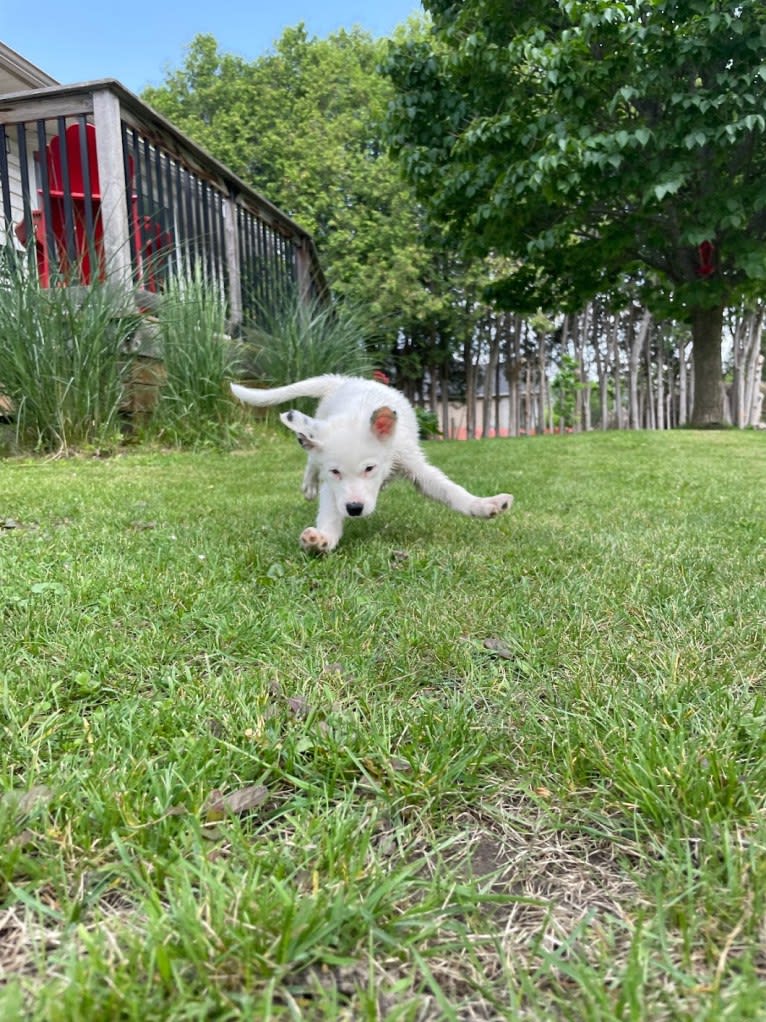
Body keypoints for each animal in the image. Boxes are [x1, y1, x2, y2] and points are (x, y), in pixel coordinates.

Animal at [230, 374, 512, 551]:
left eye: (369, 468)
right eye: (336, 471)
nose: (354, 509)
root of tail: (345, 381)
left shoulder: (410, 461)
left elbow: (451, 491)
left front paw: (483, 505)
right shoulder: (332, 485)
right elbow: (329, 511)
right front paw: (322, 539)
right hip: (317, 430)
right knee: (311, 457)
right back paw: (308, 484)